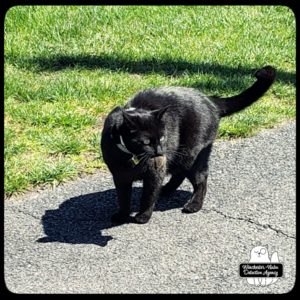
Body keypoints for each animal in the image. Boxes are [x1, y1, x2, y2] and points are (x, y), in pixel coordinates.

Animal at [101, 66, 276, 225]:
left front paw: (143, 216)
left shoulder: (156, 170)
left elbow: (148, 196)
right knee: (180, 174)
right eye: (145, 142)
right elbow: (123, 198)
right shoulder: (120, 175)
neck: (130, 156)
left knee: (200, 178)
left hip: (190, 154)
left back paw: (193, 205)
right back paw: (166, 190)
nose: (160, 151)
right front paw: (122, 216)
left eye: (162, 138)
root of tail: (210, 99)